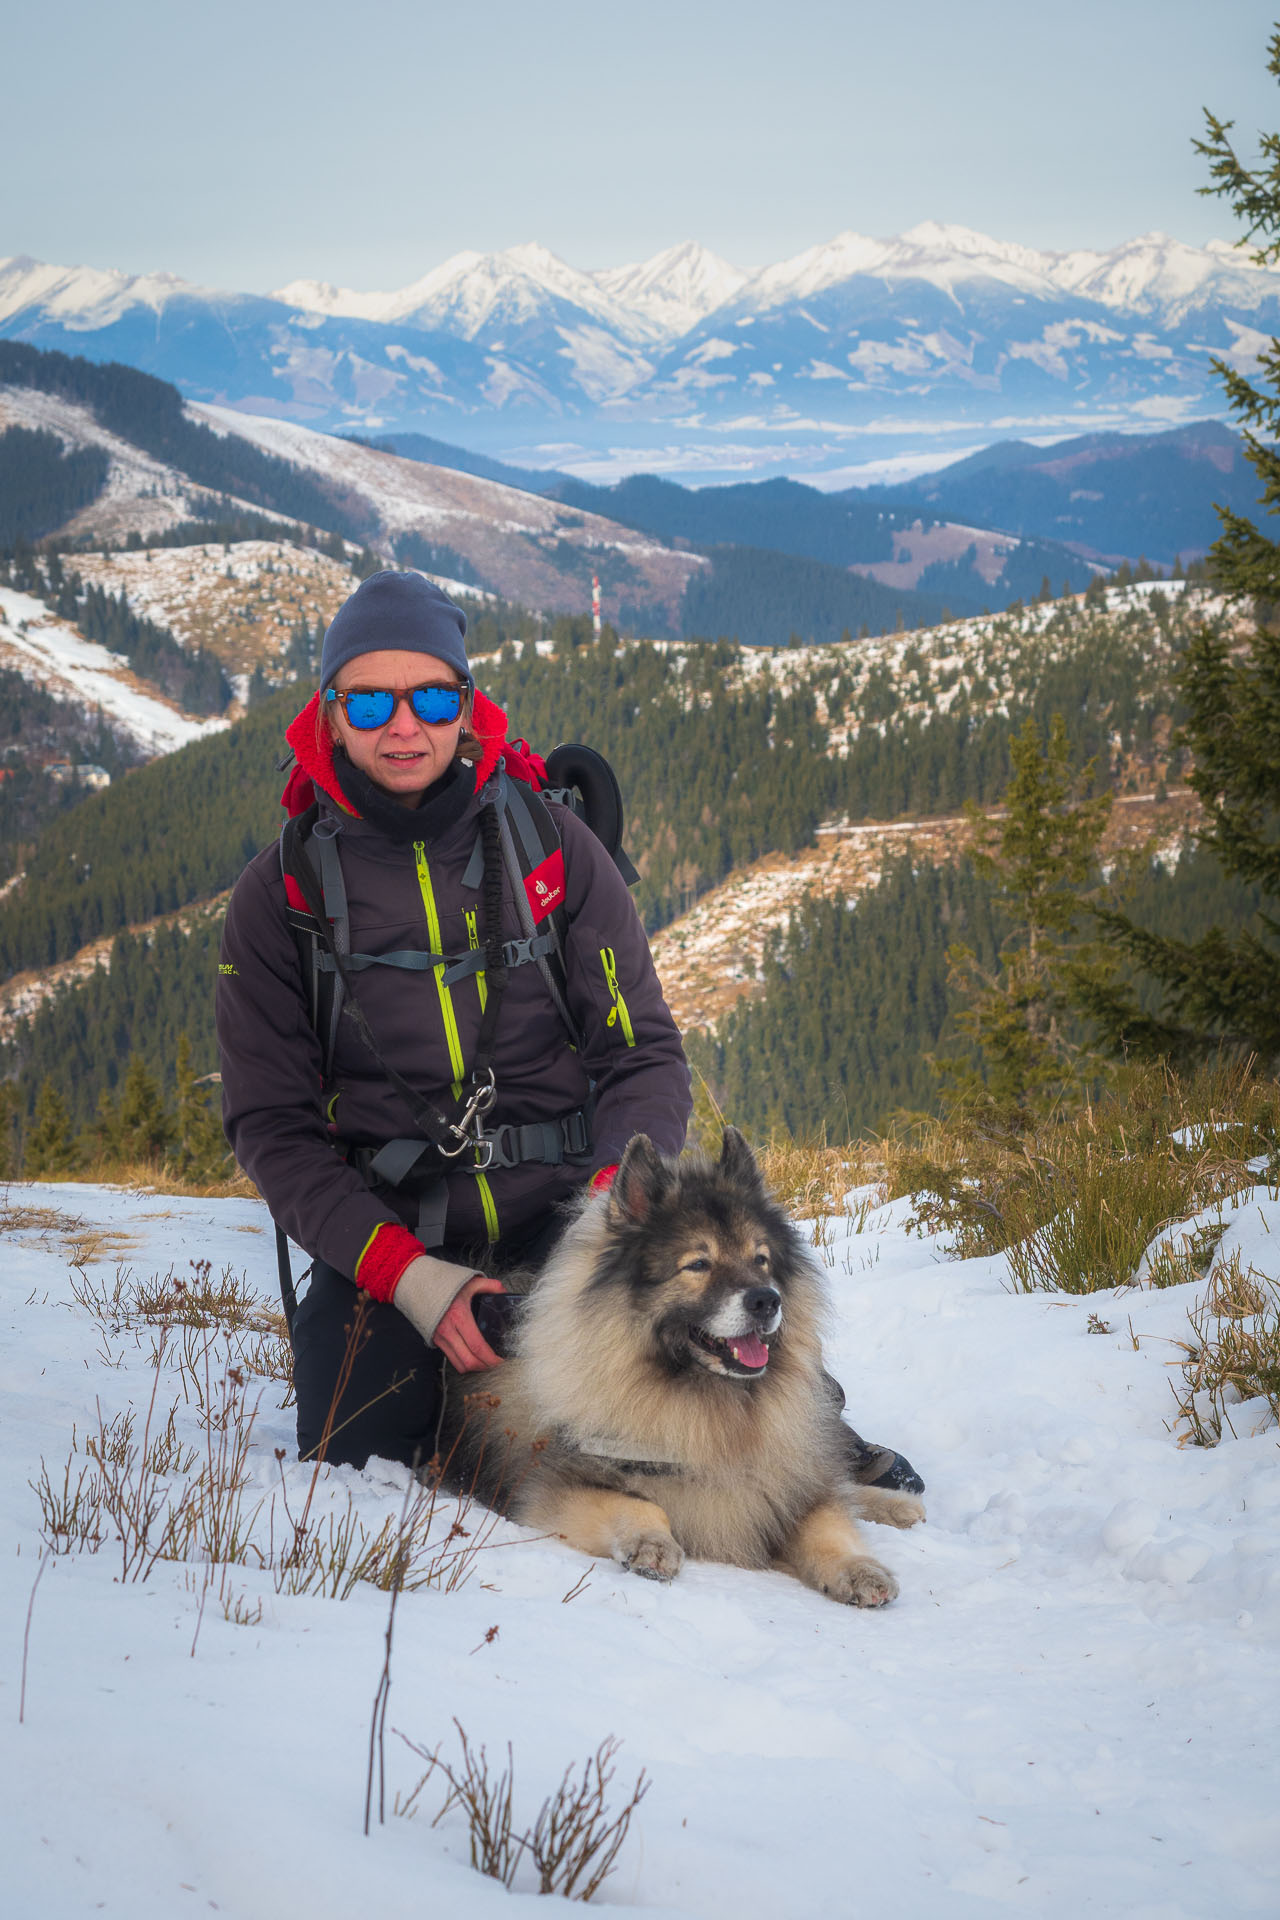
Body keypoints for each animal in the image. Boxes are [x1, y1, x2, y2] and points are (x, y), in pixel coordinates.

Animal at [445, 1121, 924, 1605]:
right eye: (697, 1264)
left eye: (761, 1259)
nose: (767, 1300)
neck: (709, 1404)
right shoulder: (550, 1488)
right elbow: (637, 1503)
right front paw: (651, 1543)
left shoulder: (789, 1481)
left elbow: (828, 1524)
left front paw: (860, 1569)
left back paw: (899, 1503)